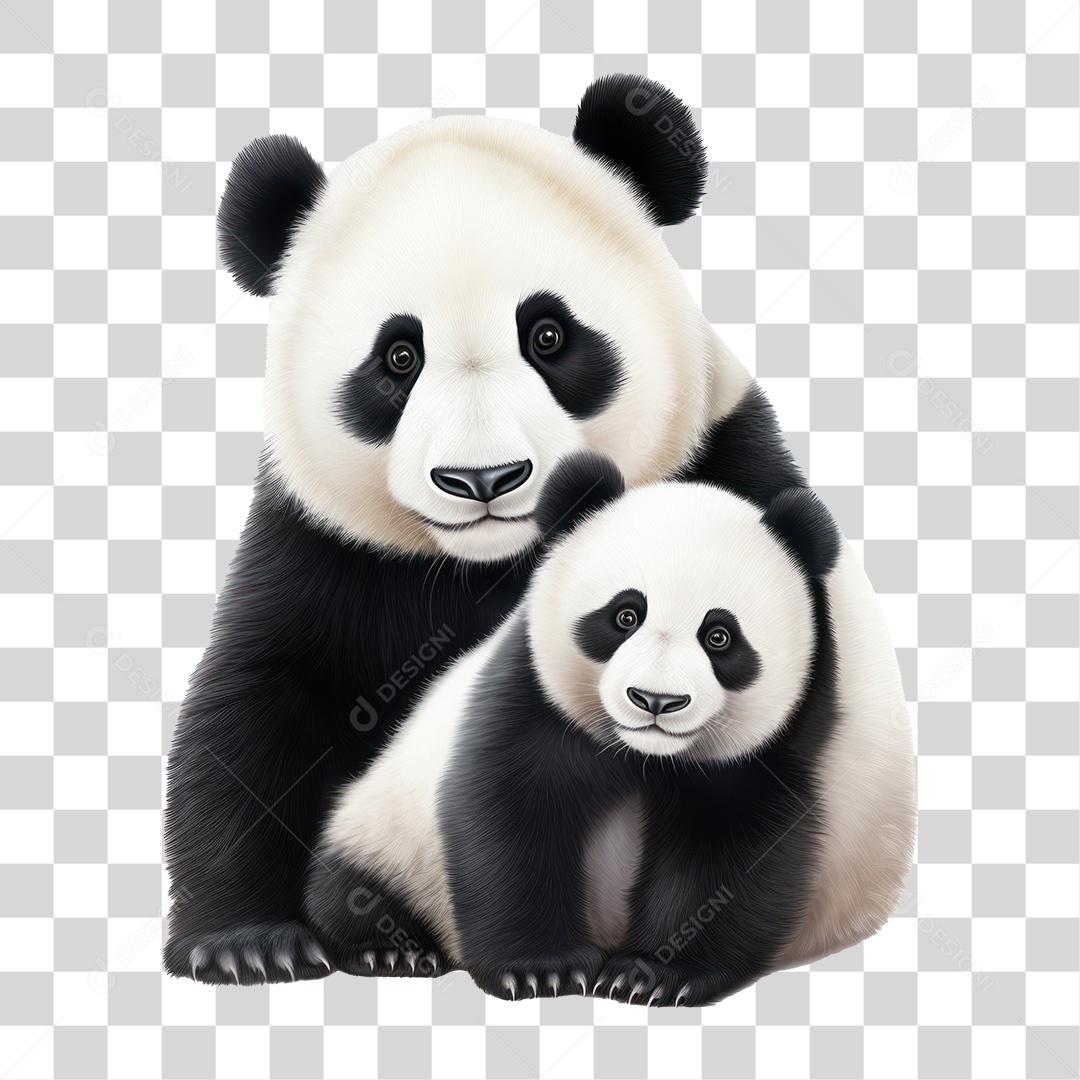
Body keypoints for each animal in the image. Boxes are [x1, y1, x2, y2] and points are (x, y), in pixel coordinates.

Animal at [305, 451, 875, 1006]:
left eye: (720, 636)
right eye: (625, 615)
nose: (656, 701)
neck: (643, 754)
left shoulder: (773, 746)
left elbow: (727, 849)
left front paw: (652, 977)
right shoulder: (532, 697)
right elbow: (512, 815)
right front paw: (542, 971)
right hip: (386, 831)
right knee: (351, 888)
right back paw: (391, 950)